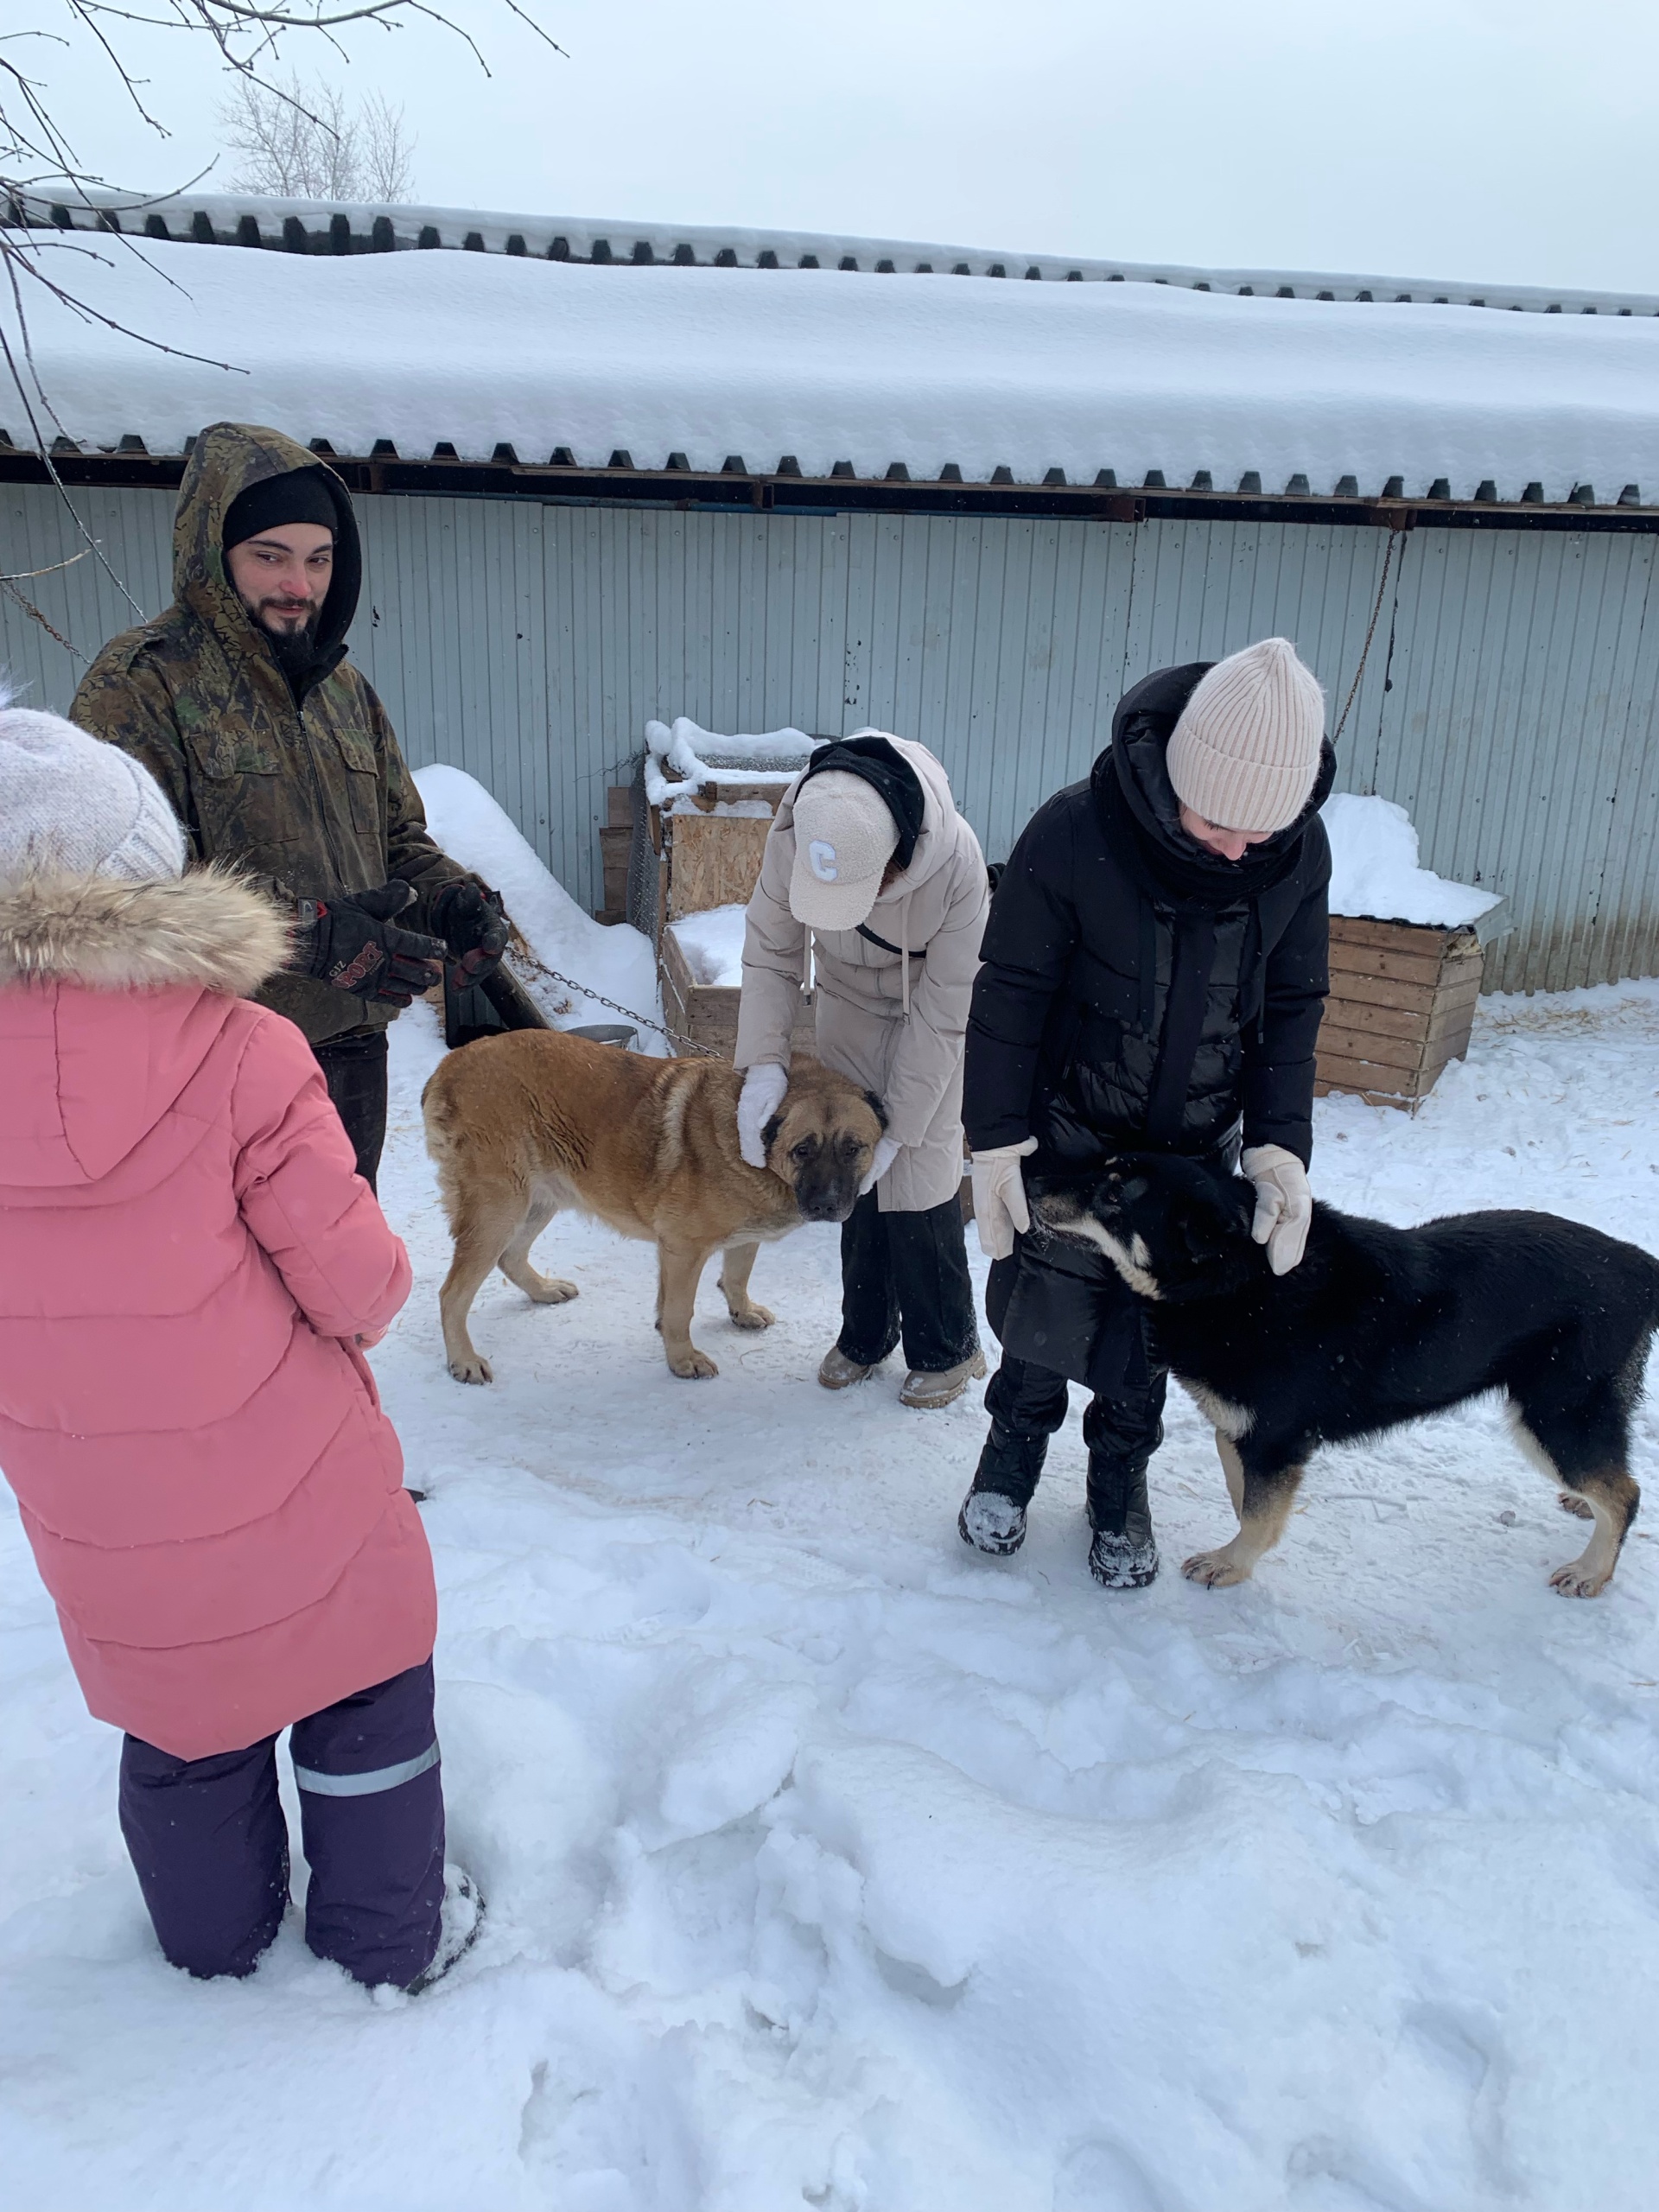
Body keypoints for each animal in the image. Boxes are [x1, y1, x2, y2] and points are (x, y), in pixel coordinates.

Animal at [422, 1035, 889, 1380]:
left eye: (854, 1148)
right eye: (802, 1150)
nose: (828, 1205)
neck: (751, 1144)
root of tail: (449, 1065)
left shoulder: (741, 1238)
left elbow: (737, 1275)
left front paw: (741, 1311)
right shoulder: (682, 1249)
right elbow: (679, 1311)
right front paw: (682, 1360)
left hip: (540, 1199)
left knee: (511, 1257)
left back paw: (543, 1290)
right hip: (500, 1206)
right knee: (452, 1294)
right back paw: (463, 1360)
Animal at [1035, 1150, 1654, 1601]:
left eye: (1115, 1195)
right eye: (1103, 1167)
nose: (1033, 1178)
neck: (1237, 1283)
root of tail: (1638, 1263)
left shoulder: (1275, 1442)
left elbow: (1257, 1514)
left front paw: (1231, 1565)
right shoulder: (1240, 1433)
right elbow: (1249, 1500)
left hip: (1554, 1417)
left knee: (1627, 1492)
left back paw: (1592, 1570)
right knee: (1613, 1477)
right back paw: (1585, 1510)